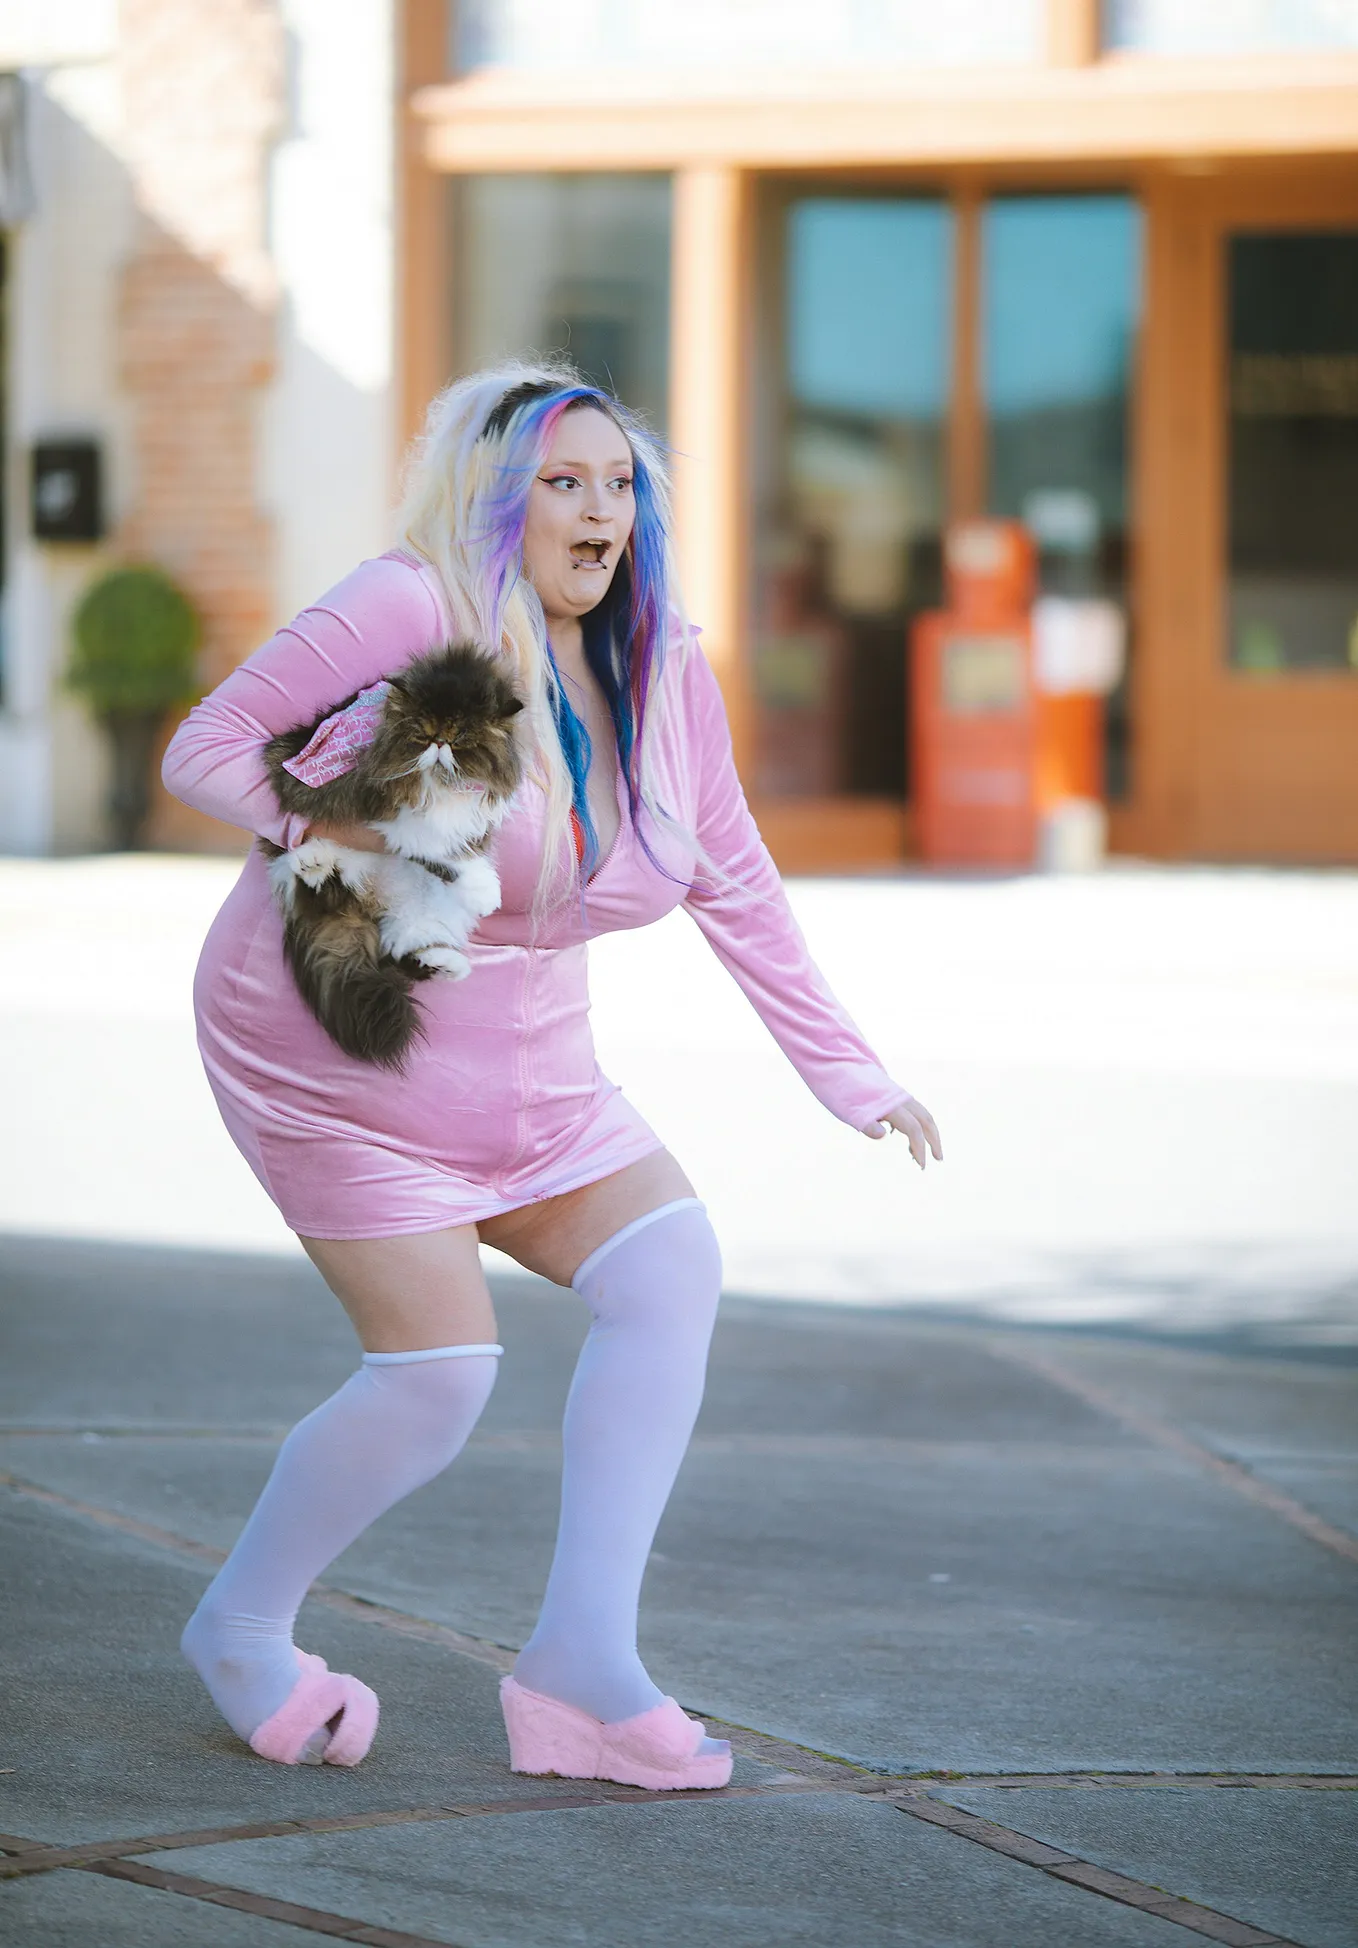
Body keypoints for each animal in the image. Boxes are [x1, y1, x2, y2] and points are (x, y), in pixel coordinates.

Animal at [261, 638, 526, 1067]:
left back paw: (450, 965)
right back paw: (314, 862)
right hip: (307, 861)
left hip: (423, 915)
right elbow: (440, 843)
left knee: (398, 953)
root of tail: (365, 903)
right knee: (311, 884)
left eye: (460, 737)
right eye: (424, 733)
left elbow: (463, 842)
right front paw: (485, 890)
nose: (440, 744)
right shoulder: (379, 803)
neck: (440, 782)